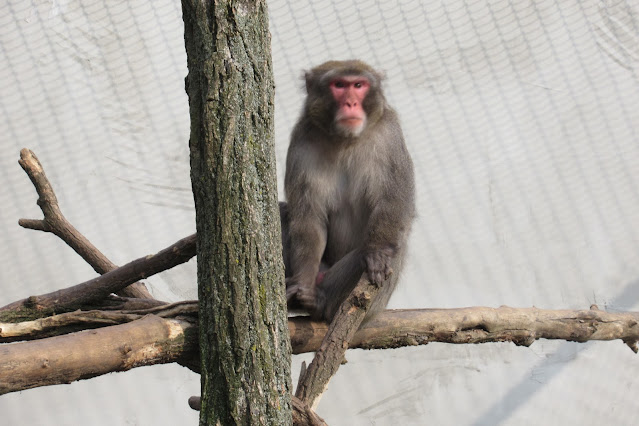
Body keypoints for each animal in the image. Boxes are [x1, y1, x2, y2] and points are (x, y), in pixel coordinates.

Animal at [281, 60, 415, 323]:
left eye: (359, 85)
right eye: (339, 85)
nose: (351, 103)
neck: (345, 140)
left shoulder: (390, 135)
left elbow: (395, 200)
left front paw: (377, 252)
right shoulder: (301, 143)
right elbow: (308, 218)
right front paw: (301, 284)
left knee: (393, 245)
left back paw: (322, 303)